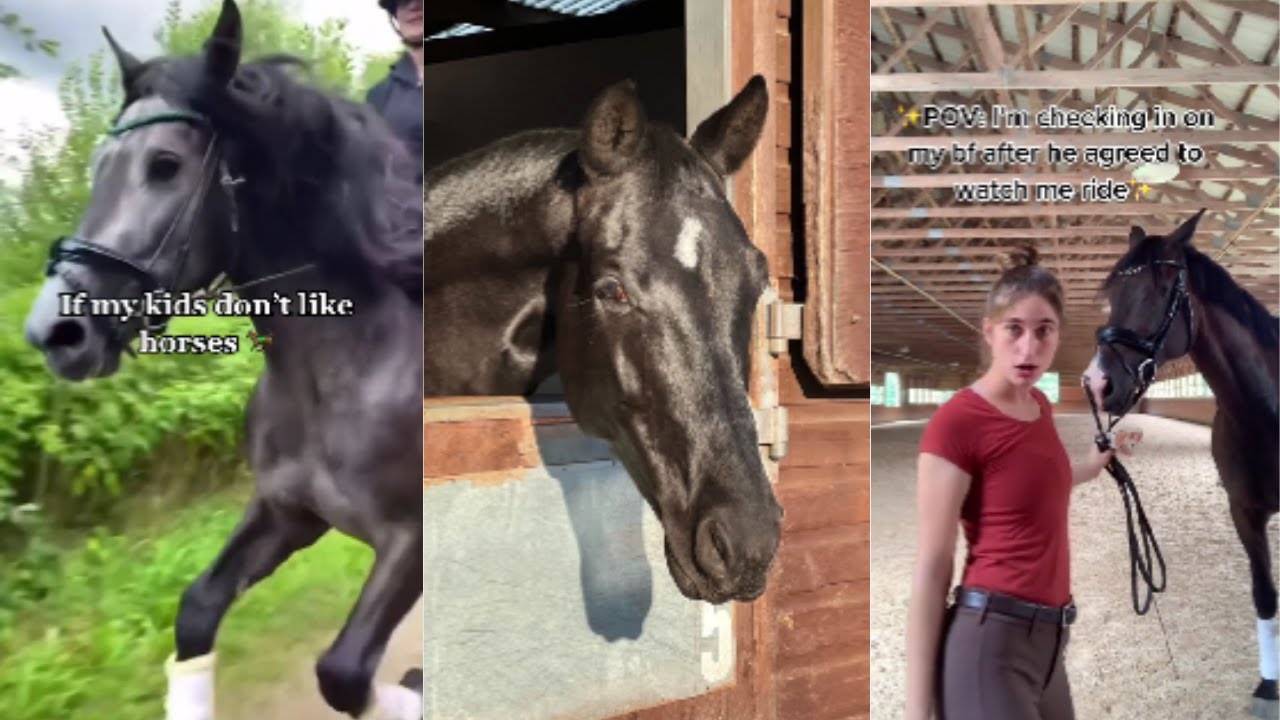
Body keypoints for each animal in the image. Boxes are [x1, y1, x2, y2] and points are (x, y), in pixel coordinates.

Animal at [21, 1, 426, 718]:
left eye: (164, 165)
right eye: (101, 163)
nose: (55, 332)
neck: (340, 376)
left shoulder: (410, 541)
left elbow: (343, 671)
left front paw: (414, 684)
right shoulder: (286, 513)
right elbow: (198, 610)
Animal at [1083, 209, 1280, 718]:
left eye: (1164, 286)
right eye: (1112, 294)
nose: (1096, 383)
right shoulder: (1244, 512)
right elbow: (1265, 597)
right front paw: (1268, 686)